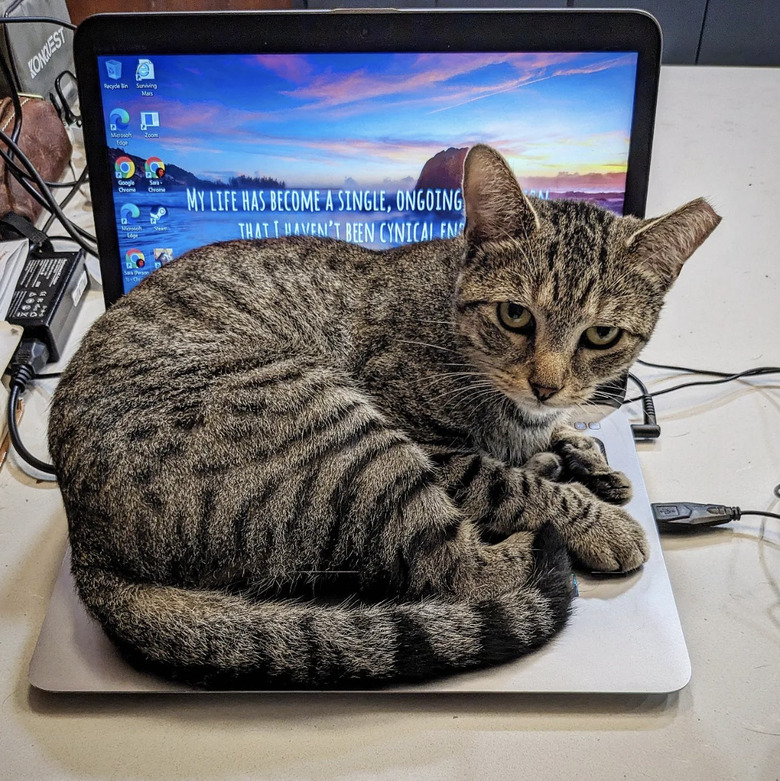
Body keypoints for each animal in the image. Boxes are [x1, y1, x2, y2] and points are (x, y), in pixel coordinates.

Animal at [47, 143, 720, 684]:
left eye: (602, 334)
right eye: (515, 315)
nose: (546, 385)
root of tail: (87, 544)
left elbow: (557, 438)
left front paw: (582, 453)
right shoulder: (440, 452)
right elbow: (509, 483)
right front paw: (592, 513)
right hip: (344, 434)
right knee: (454, 566)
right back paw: (534, 541)